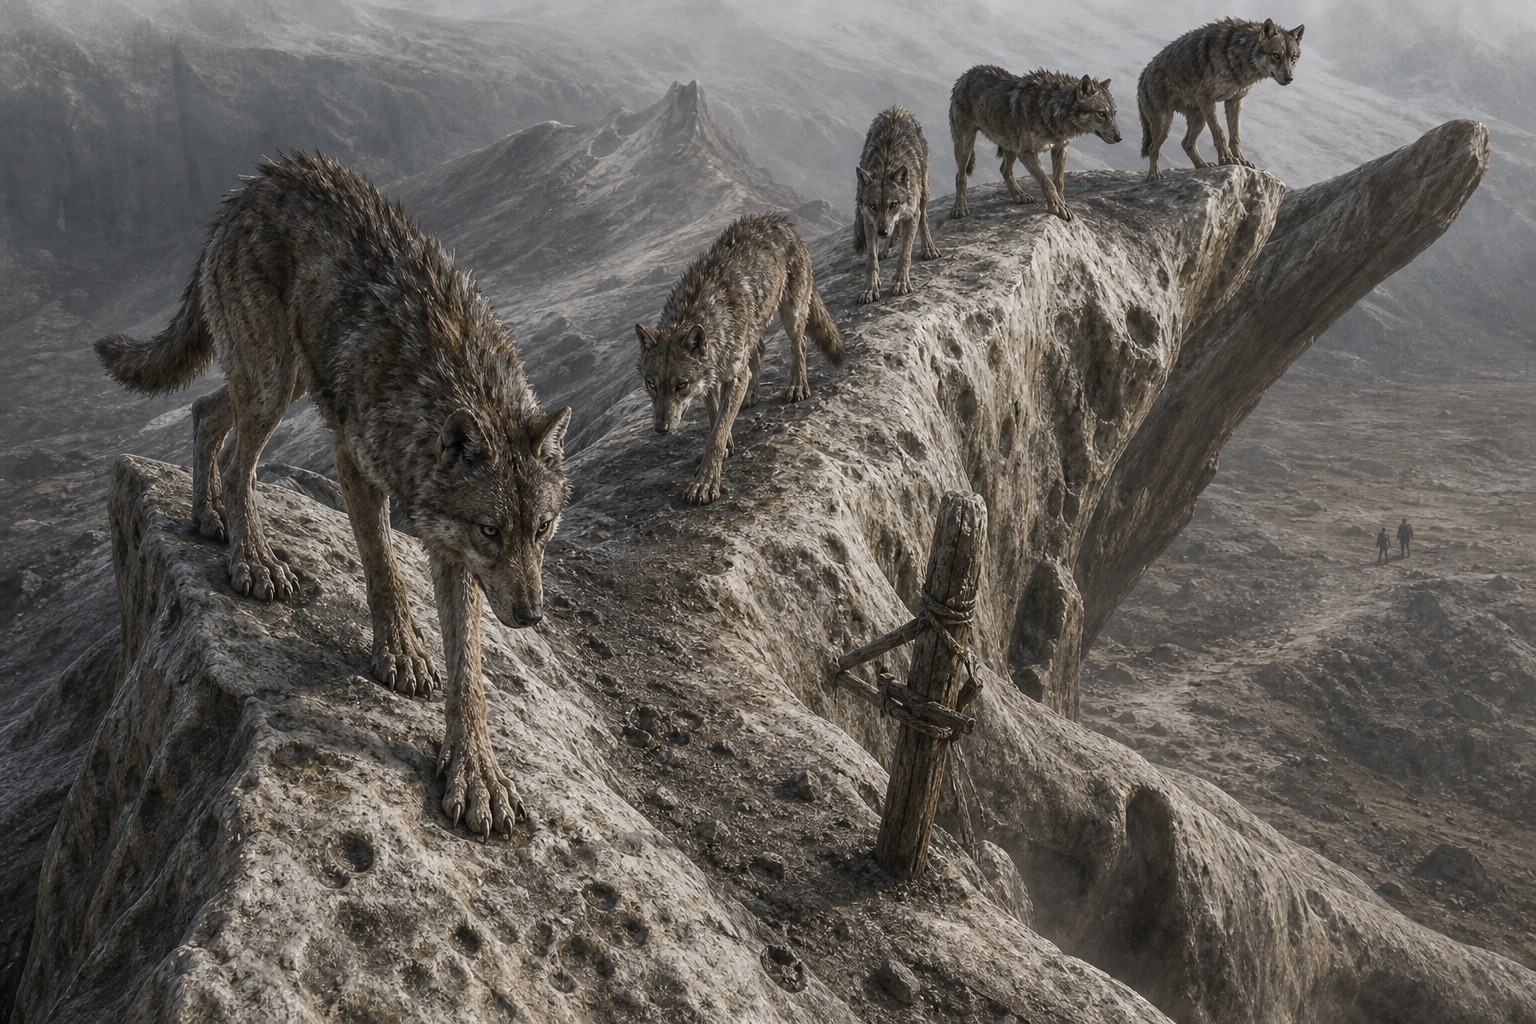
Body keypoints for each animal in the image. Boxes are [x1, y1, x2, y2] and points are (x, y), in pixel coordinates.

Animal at [94, 152, 571, 839]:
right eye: (492, 530)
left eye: (542, 530)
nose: (532, 615)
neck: (446, 384)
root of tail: (252, 186)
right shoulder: (355, 462)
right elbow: (382, 568)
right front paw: (400, 651)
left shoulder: (453, 552)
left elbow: (469, 672)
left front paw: (477, 774)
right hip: (275, 379)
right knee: (237, 457)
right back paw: (253, 558)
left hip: (288, 377)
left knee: (205, 413)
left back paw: (208, 517)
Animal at [635, 212, 844, 505]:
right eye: (651, 385)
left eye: (681, 385)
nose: (661, 428)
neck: (700, 314)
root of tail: (780, 220)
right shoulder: (711, 381)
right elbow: (715, 419)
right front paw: (725, 448)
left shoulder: (733, 375)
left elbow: (718, 430)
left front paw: (705, 483)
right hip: (755, 329)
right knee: (760, 352)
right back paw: (752, 396)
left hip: (791, 312)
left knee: (799, 343)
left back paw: (797, 386)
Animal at [854, 106, 940, 304]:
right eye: (873, 206)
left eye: (893, 204)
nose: (882, 232)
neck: (886, 165)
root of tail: (897, 109)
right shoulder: (869, 221)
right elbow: (871, 260)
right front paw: (870, 289)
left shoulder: (912, 216)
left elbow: (905, 254)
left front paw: (901, 283)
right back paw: (887, 247)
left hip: (924, 192)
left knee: (924, 219)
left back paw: (928, 248)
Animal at [949, 65, 1121, 223]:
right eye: (1101, 114)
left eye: (1114, 113)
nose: (1119, 137)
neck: (1053, 109)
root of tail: (964, 76)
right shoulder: (1027, 153)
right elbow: (1048, 183)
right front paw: (1058, 208)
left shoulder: (1060, 148)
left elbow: (1059, 182)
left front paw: (1063, 204)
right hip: (966, 145)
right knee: (961, 175)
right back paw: (959, 208)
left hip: (1011, 146)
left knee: (1004, 169)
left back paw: (1019, 195)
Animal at [1138, 17, 1305, 181]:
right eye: (1276, 55)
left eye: (1293, 57)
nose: (1289, 78)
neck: (1239, 54)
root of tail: (1144, 73)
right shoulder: (1205, 97)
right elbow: (1220, 133)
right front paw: (1227, 159)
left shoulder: (1234, 101)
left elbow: (1235, 135)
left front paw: (1240, 160)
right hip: (1166, 124)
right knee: (1153, 149)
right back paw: (1155, 175)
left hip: (1200, 118)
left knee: (1187, 144)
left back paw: (1203, 165)